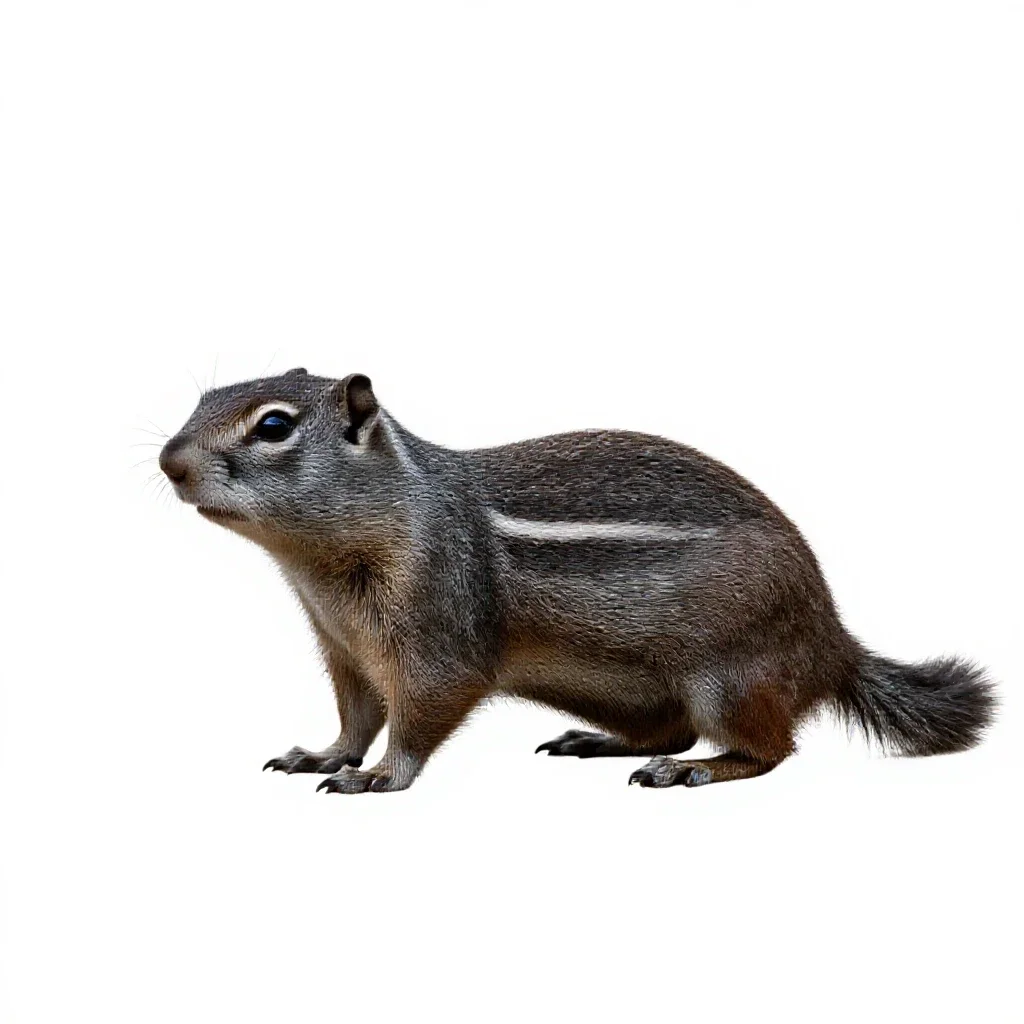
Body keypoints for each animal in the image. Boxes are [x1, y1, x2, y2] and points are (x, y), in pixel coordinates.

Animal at [159, 368, 995, 794]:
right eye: (201, 398)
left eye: (273, 426)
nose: (170, 462)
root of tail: (830, 640)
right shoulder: (344, 650)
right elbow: (357, 717)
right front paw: (324, 755)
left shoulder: (438, 631)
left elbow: (421, 713)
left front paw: (380, 776)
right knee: (672, 725)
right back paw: (599, 743)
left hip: (730, 676)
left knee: (770, 748)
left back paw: (693, 769)